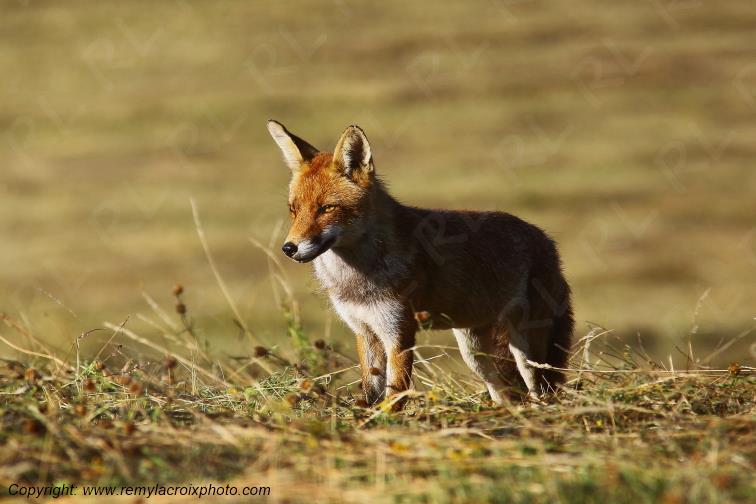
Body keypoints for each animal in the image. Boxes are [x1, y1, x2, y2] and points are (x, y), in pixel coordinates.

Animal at [267, 120, 574, 407]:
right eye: (293, 210)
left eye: (327, 208)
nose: (289, 248)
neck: (357, 280)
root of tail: (547, 241)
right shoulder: (364, 332)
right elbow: (370, 393)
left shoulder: (399, 333)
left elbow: (395, 396)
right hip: (475, 353)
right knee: (506, 393)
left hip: (528, 351)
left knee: (541, 390)